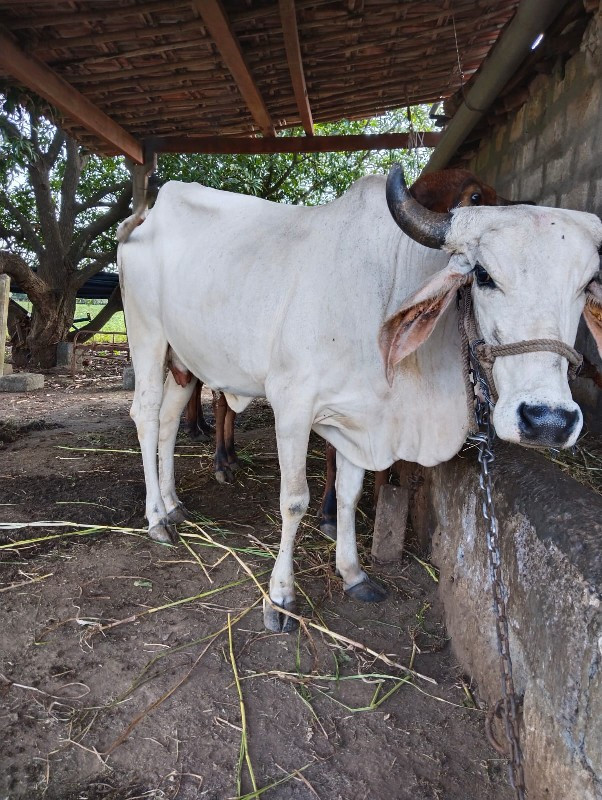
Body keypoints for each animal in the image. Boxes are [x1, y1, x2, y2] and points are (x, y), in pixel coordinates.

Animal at [116, 167, 600, 632]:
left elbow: (348, 495)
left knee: (169, 422)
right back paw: (156, 519)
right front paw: (281, 598)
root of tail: (150, 213)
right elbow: (294, 501)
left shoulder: (359, 421)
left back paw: (173, 504)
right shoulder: (292, 405)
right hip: (147, 337)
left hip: (184, 360)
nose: (548, 420)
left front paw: (352, 573)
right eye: (483, 275)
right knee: (146, 415)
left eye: (586, 285)